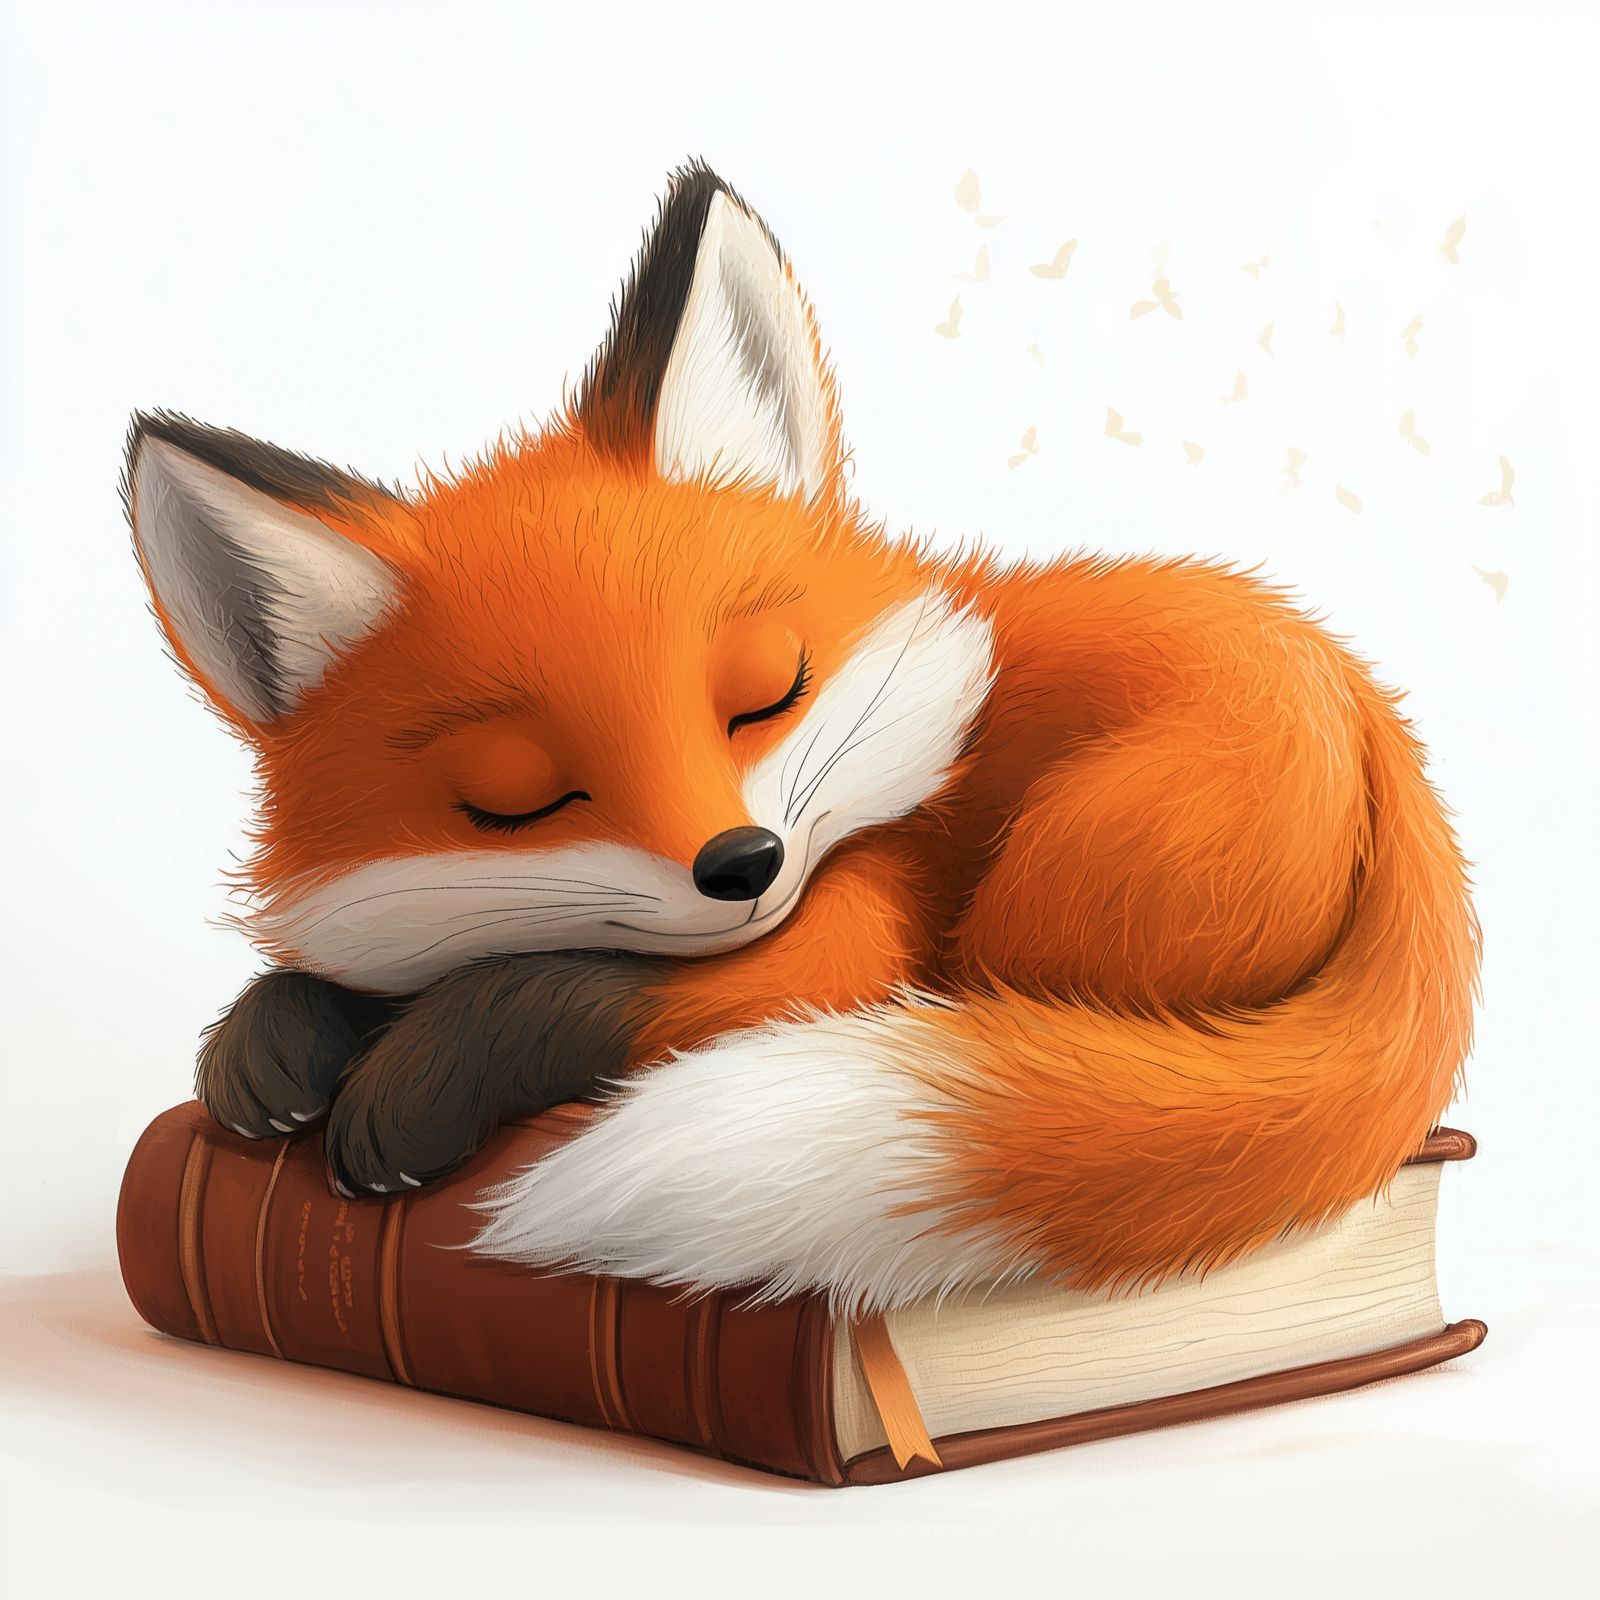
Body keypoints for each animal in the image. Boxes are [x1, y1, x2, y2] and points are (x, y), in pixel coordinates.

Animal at [124, 161, 1480, 1314]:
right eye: (514, 795)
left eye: (763, 690)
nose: (741, 864)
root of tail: (1379, 731)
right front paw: (269, 1042)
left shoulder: (851, 933)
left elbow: (588, 985)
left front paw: (420, 1072)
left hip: (1086, 871)